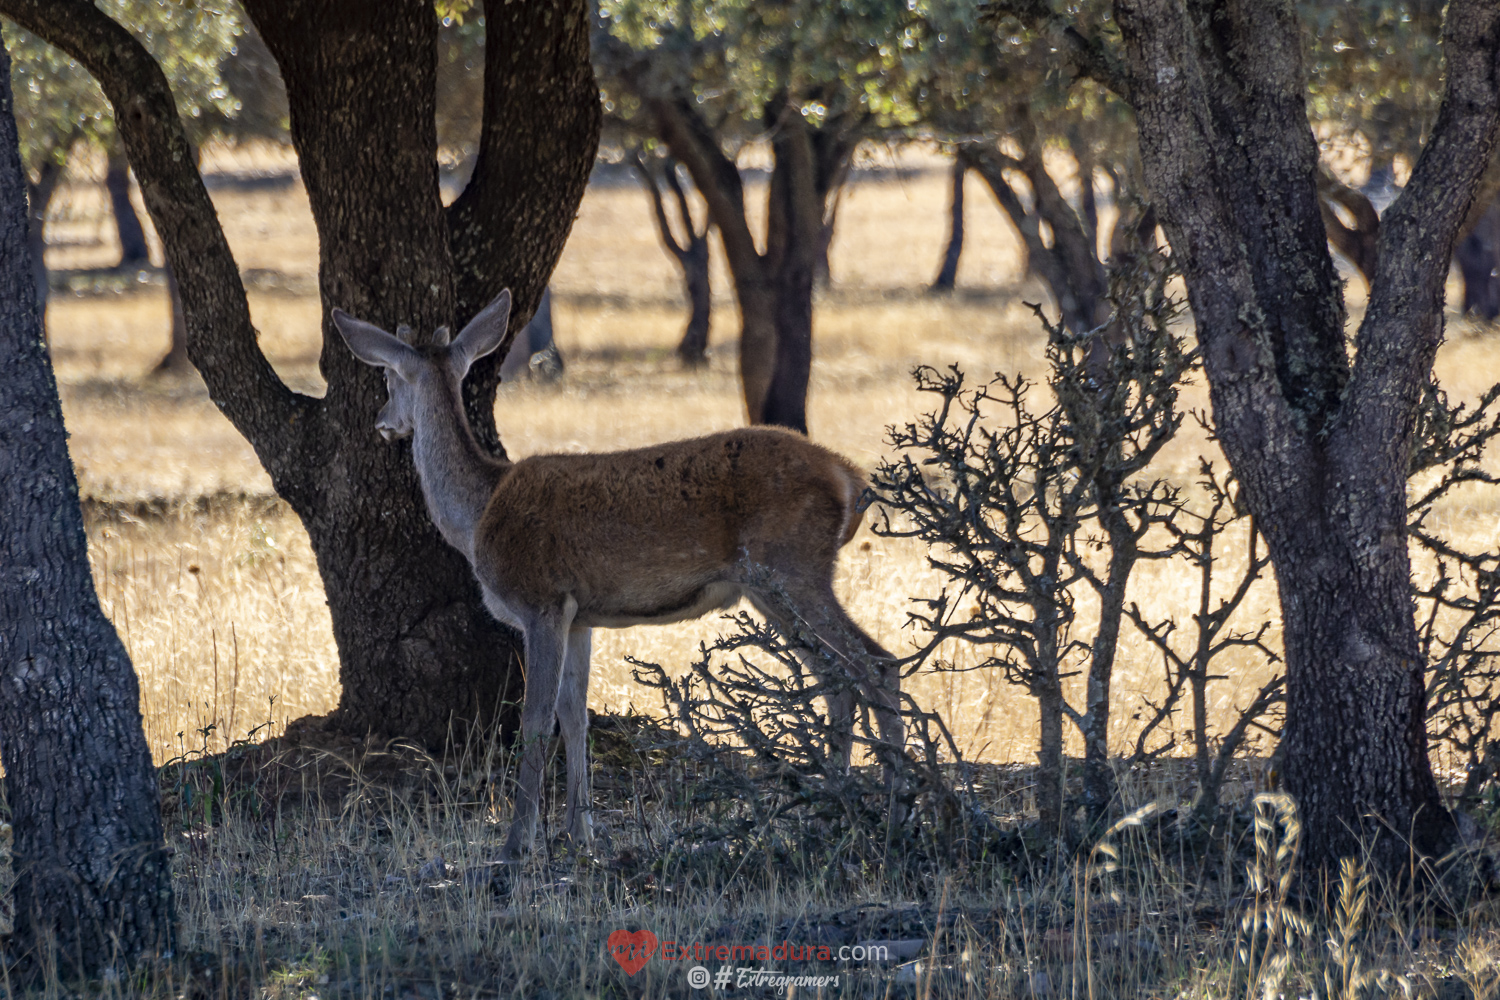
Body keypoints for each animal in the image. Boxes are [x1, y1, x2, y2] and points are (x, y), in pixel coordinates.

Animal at [333, 289, 894, 863]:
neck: (478, 516)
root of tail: (851, 480)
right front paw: (580, 834)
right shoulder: (581, 616)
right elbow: (573, 715)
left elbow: (535, 720)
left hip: (791, 566)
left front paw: (517, 843)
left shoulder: (541, 601)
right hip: (774, 585)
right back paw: (834, 808)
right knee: (837, 677)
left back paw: (892, 807)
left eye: (388, 377)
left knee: (874, 663)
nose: (382, 421)